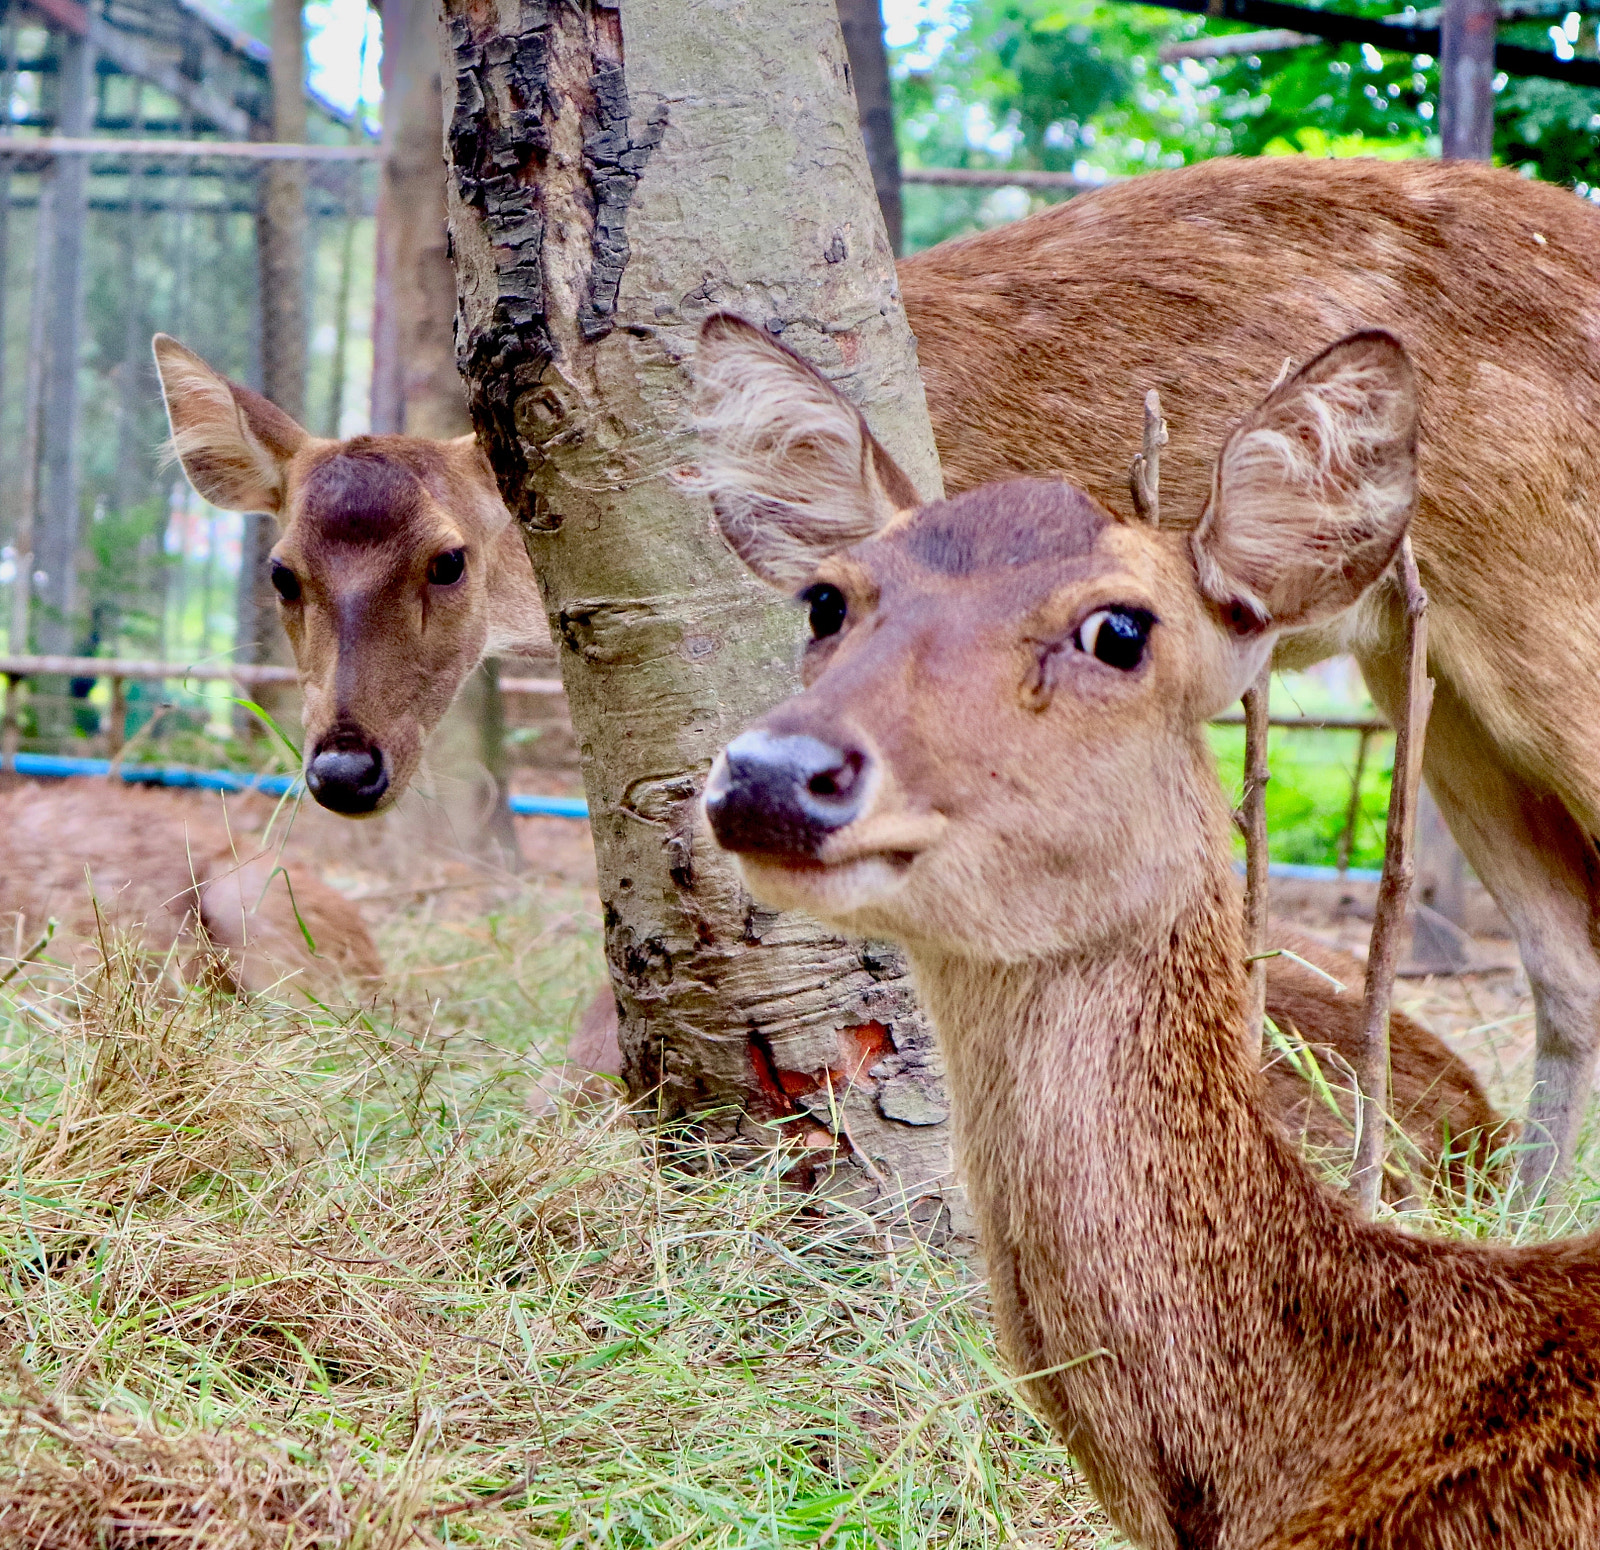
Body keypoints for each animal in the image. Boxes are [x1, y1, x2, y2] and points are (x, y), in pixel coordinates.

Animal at [155, 155, 1597, 1192]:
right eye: (281, 570)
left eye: (449, 560)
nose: (345, 762)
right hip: (1429, 662)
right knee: (1569, 955)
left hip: (1551, 605)